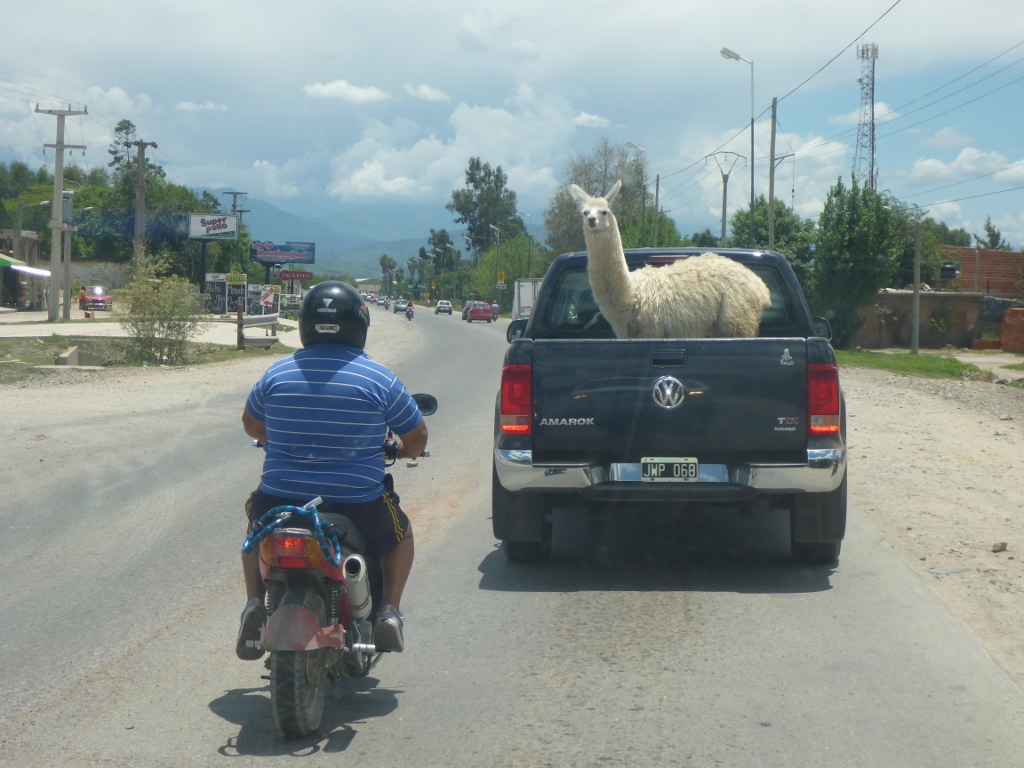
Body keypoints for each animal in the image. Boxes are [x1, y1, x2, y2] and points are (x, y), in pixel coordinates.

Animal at [569, 180, 772, 339]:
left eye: (604, 211)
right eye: (585, 212)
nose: (592, 220)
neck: (631, 293)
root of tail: (760, 286)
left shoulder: (652, 331)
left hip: (738, 318)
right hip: (722, 325)